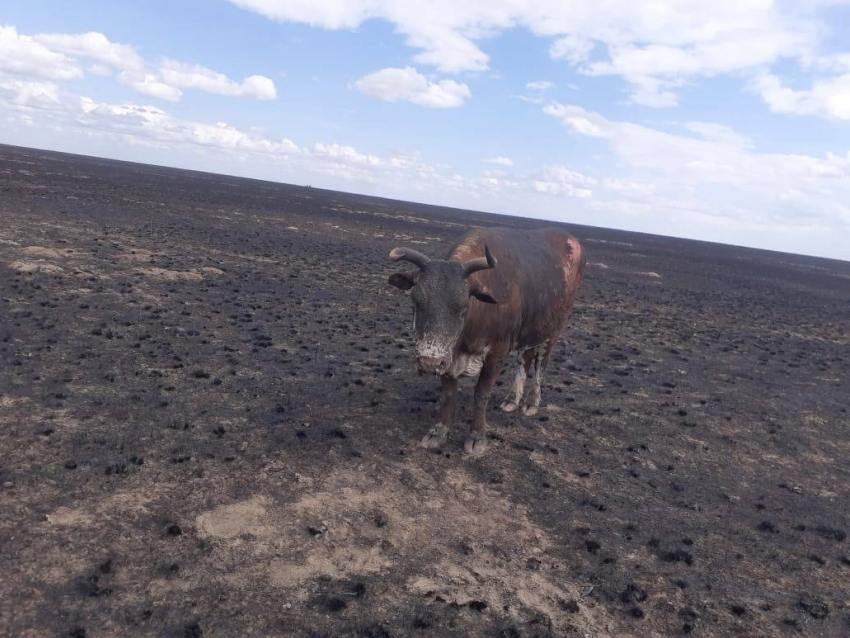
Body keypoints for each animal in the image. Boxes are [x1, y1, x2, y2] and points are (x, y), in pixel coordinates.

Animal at [386, 228, 580, 458]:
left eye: (463, 306)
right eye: (415, 300)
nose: (428, 362)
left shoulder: (497, 352)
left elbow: (481, 393)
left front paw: (477, 436)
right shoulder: (449, 357)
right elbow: (448, 394)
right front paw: (439, 431)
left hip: (554, 330)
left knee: (541, 363)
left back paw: (531, 402)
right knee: (525, 359)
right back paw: (512, 399)